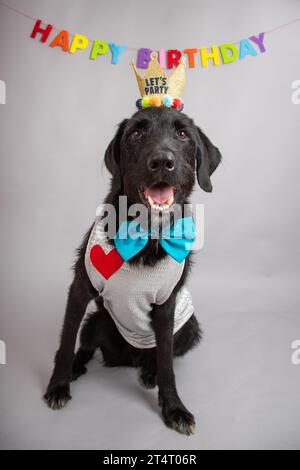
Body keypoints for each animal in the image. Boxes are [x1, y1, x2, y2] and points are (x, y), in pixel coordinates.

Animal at [44, 105, 221, 434]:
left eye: (182, 134)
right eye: (136, 134)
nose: (162, 162)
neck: (145, 235)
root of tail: (129, 358)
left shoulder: (166, 306)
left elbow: (167, 363)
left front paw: (174, 408)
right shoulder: (80, 289)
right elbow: (65, 341)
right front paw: (58, 385)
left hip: (189, 327)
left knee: (161, 356)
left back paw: (149, 373)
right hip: (97, 321)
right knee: (86, 345)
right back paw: (77, 366)